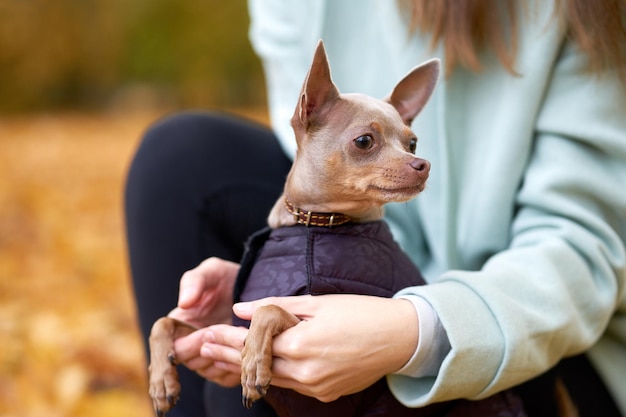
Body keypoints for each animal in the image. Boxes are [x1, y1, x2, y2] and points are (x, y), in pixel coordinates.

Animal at [147, 39, 528, 416]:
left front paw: (254, 363)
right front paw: (161, 379)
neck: (316, 223)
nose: (422, 164)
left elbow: (270, 309)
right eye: (364, 141)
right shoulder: (230, 319)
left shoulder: (310, 326)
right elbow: (163, 322)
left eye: (412, 143)